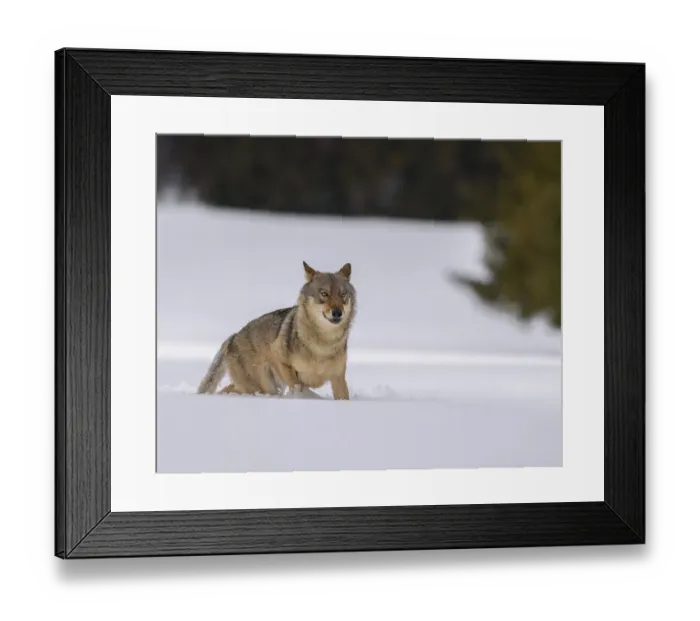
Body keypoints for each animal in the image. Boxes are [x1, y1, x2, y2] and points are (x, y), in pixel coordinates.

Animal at [196, 261, 356, 400]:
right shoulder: (278, 356)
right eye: (324, 293)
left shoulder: (338, 379)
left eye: (343, 295)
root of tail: (232, 338)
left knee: (227, 389)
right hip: (265, 387)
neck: (324, 344)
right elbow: (299, 388)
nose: (337, 312)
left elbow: (343, 397)